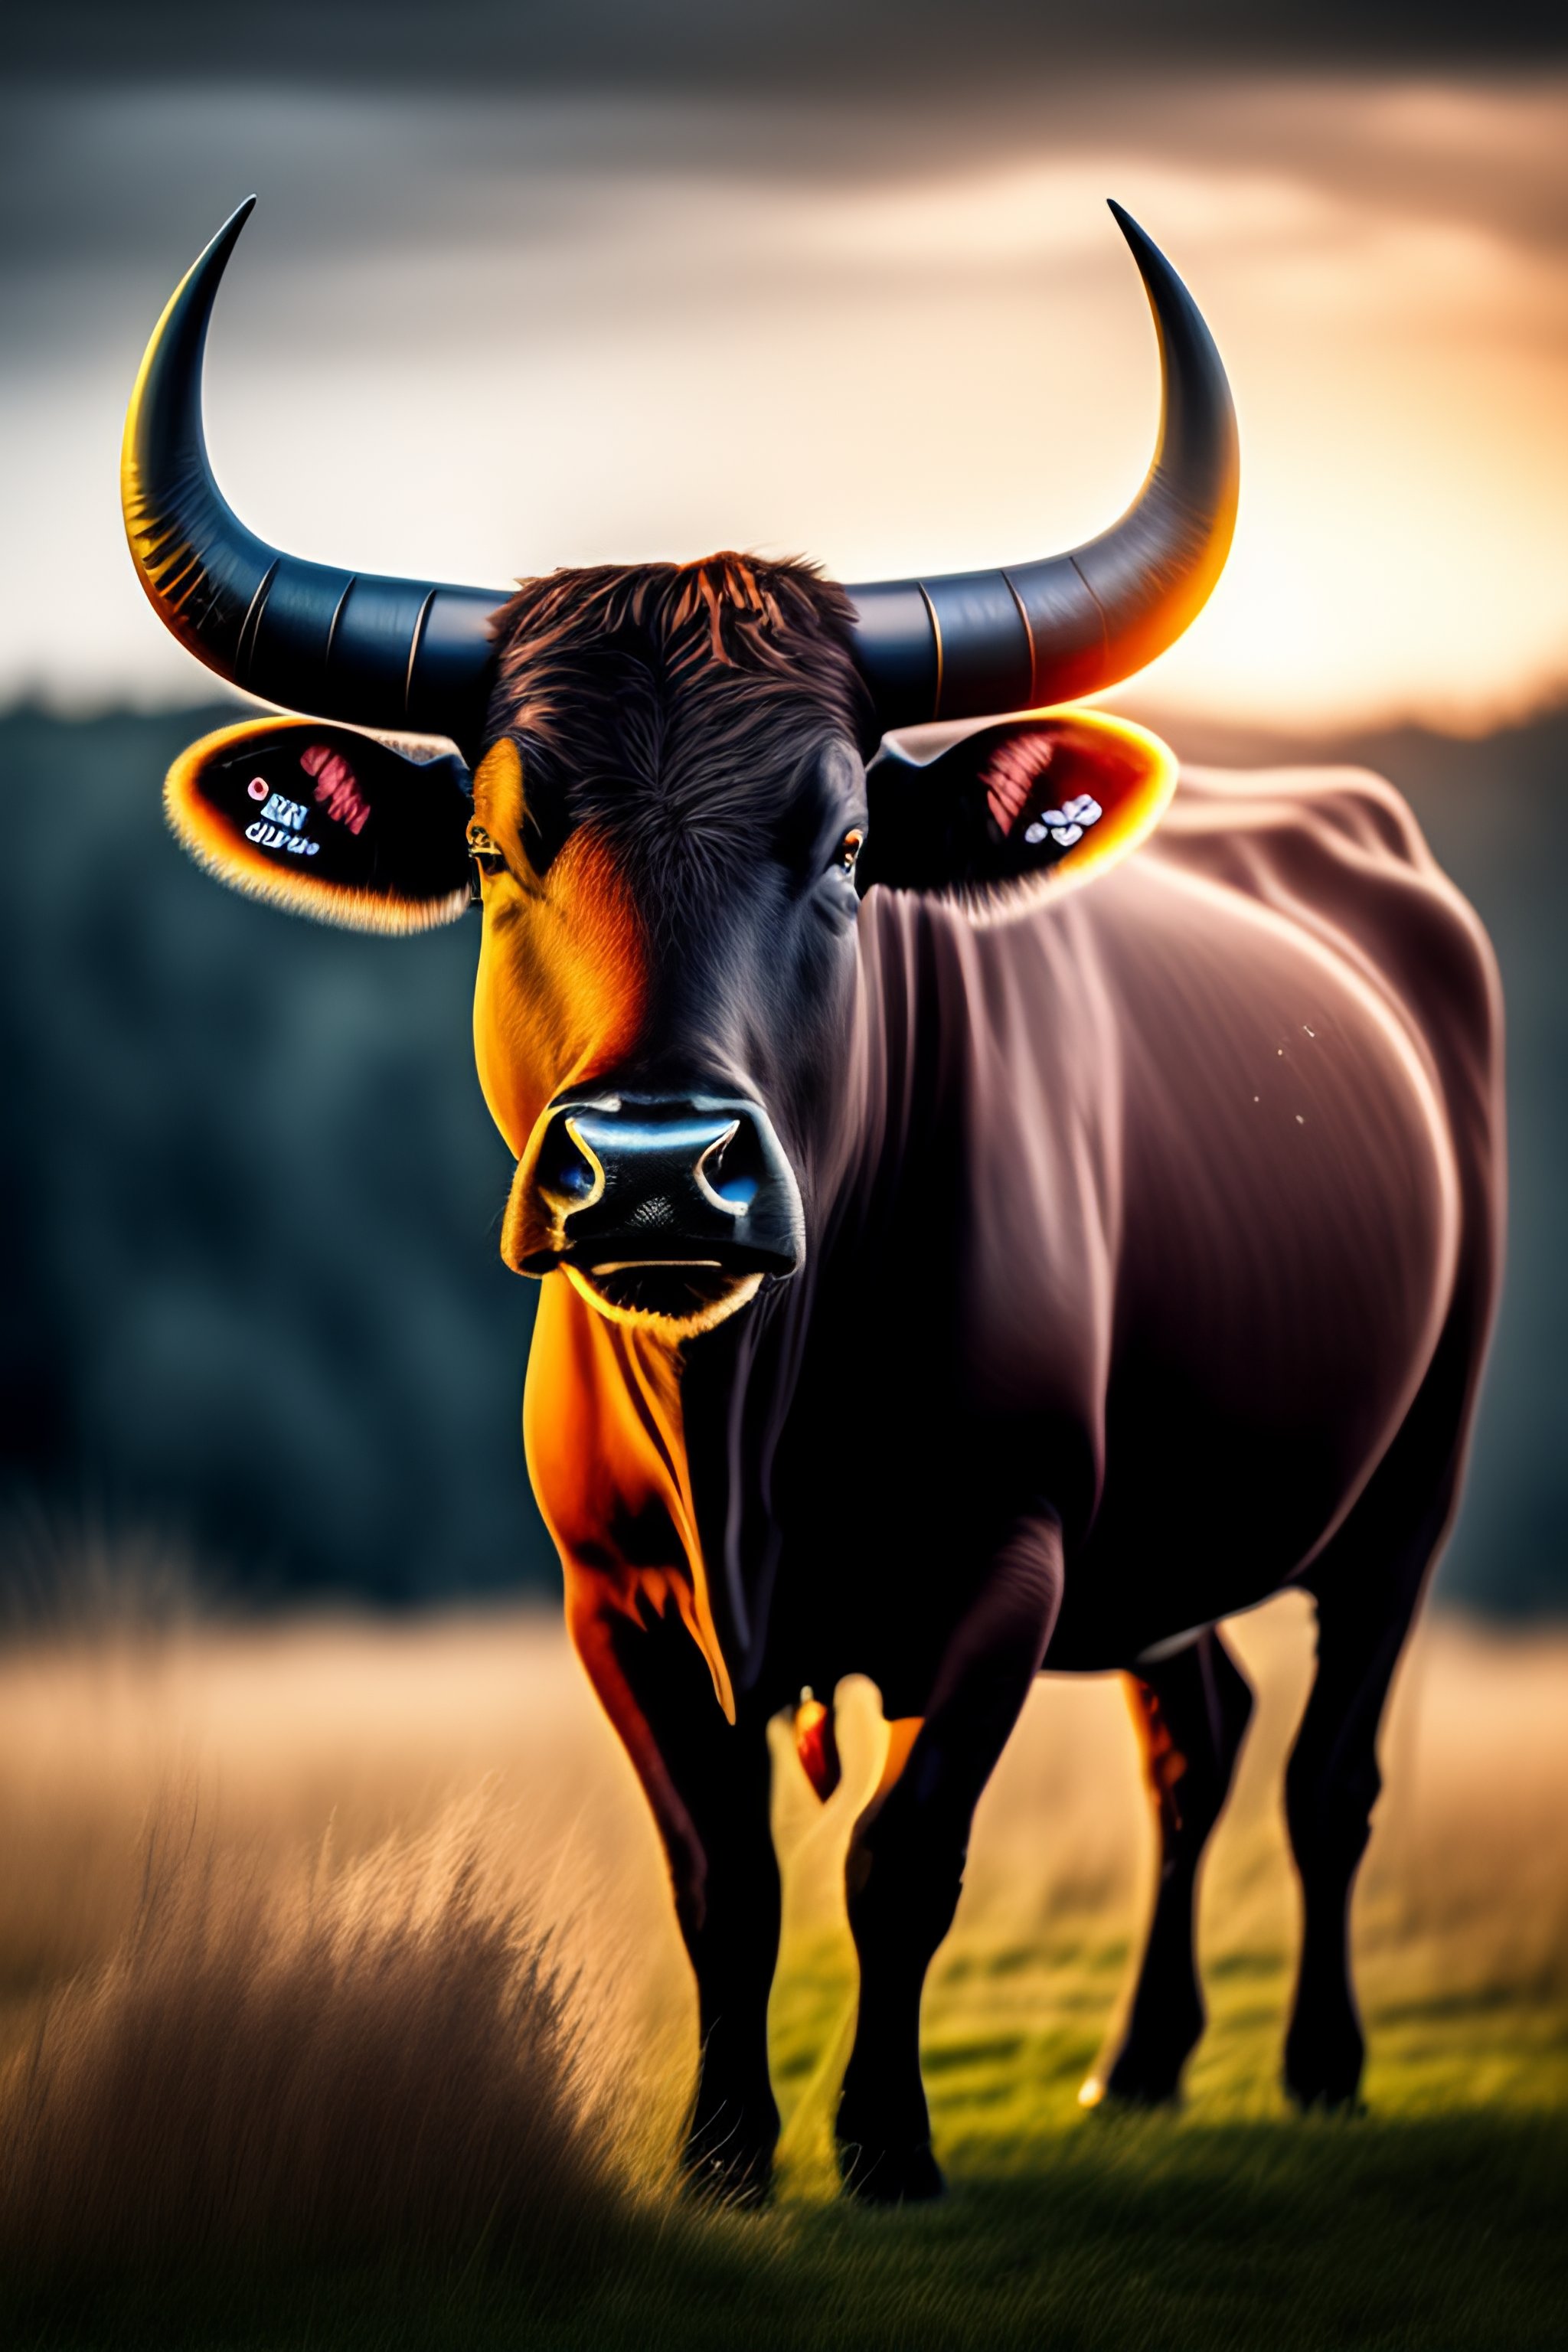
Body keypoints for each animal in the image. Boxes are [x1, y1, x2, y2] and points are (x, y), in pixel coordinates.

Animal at [122, 198, 1503, 2205]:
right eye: (492, 846)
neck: (741, 1422)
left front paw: (883, 2144)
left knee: (1329, 1771)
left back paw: (1317, 2061)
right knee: (1198, 1737)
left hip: (1411, 1478)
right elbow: (727, 1878)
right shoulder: (612, 1595)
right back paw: (1140, 2062)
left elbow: (898, 1860)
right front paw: (722, 2152)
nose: (649, 1167)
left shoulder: (1004, 1568)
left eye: (848, 843)